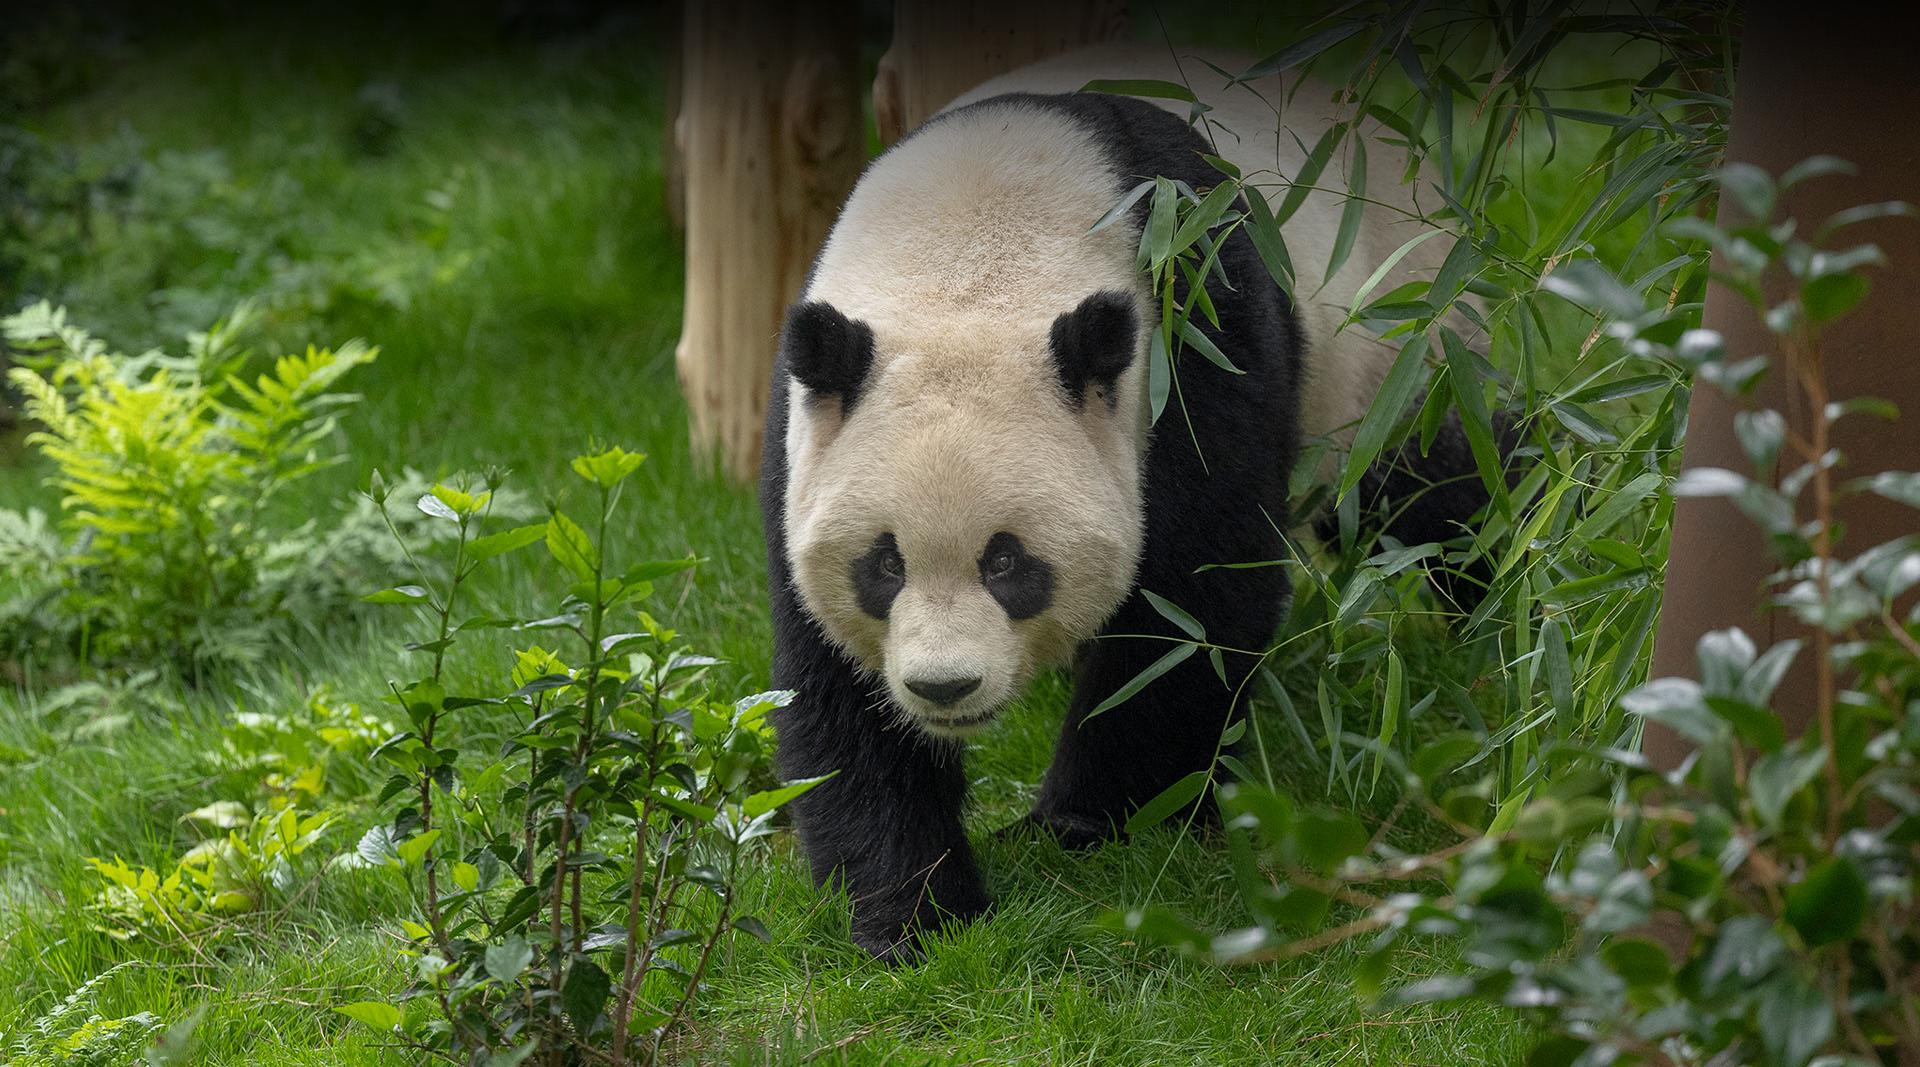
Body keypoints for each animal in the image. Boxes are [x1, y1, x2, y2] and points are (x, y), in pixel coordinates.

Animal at [761, 43, 1502, 960]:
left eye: (1008, 563)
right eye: (884, 565)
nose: (945, 686)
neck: (972, 252)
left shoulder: (1193, 335)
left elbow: (1191, 607)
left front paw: (1086, 826)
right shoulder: (804, 431)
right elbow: (833, 681)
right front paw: (914, 913)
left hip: (1399, 343)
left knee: (1444, 491)